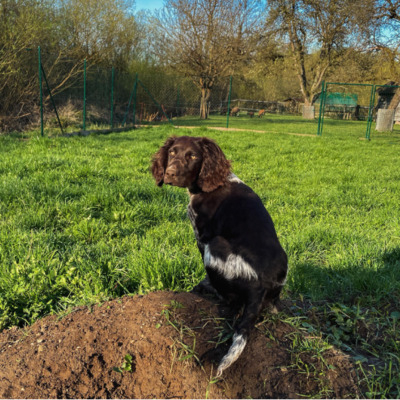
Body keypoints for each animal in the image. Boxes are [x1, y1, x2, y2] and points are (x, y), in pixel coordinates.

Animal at [151, 136, 288, 376]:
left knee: (230, 299)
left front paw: (200, 286)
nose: (170, 174)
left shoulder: (202, 236)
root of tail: (260, 287)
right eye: (172, 152)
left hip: (215, 246)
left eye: (192, 156)